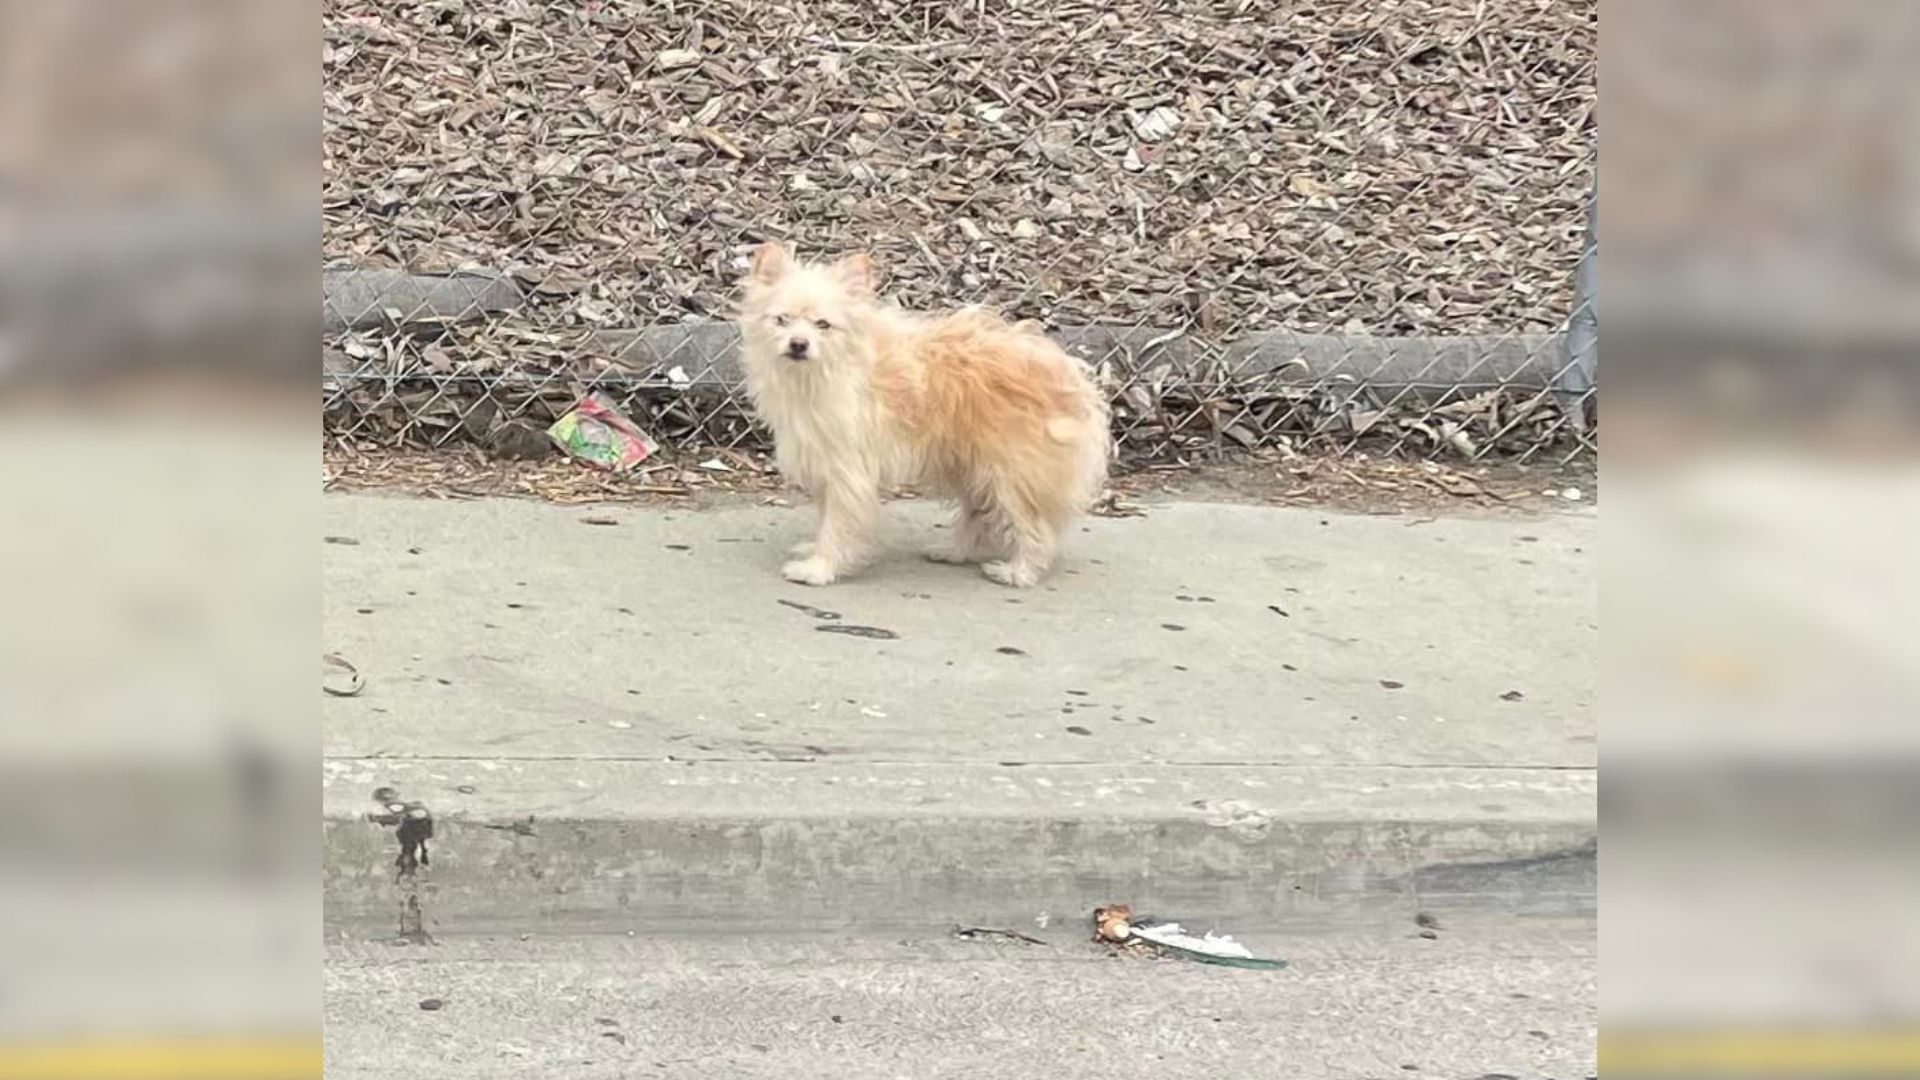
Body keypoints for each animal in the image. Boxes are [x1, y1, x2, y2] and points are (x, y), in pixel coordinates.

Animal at [744, 242, 1121, 588]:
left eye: (823, 325)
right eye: (782, 320)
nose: (798, 344)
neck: (824, 372)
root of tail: (1072, 375)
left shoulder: (848, 471)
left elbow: (838, 523)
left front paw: (821, 568)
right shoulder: (826, 462)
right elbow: (826, 517)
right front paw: (815, 550)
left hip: (1012, 473)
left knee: (1035, 526)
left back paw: (1019, 572)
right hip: (972, 467)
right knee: (979, 514)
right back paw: (955, 552)